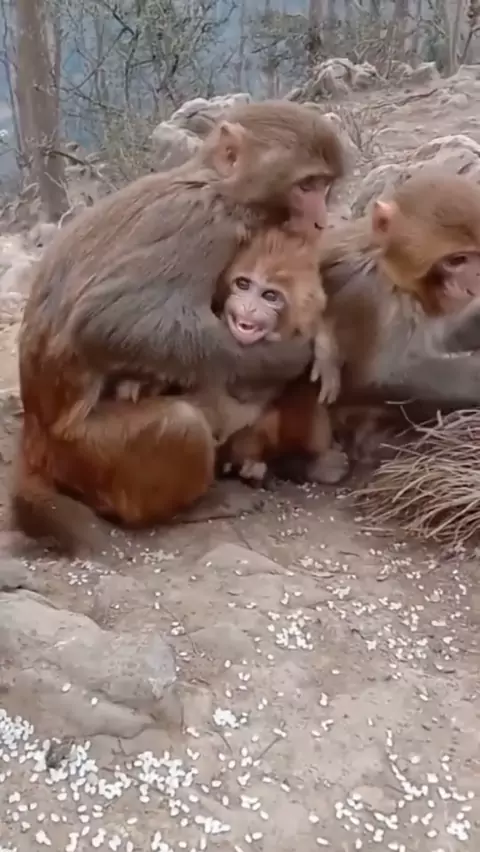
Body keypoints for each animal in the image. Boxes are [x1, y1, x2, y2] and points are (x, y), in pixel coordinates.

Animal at [13, 100, 345, 553]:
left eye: (323, 186)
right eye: (306, 186)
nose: (321, 221)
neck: (220, 189)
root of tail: (34, 440)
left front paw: (323, 345)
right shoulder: (202, 227)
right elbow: (108, 318)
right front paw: (284, 356)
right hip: (84, 456)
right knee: (180, 424)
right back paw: (191, 506)